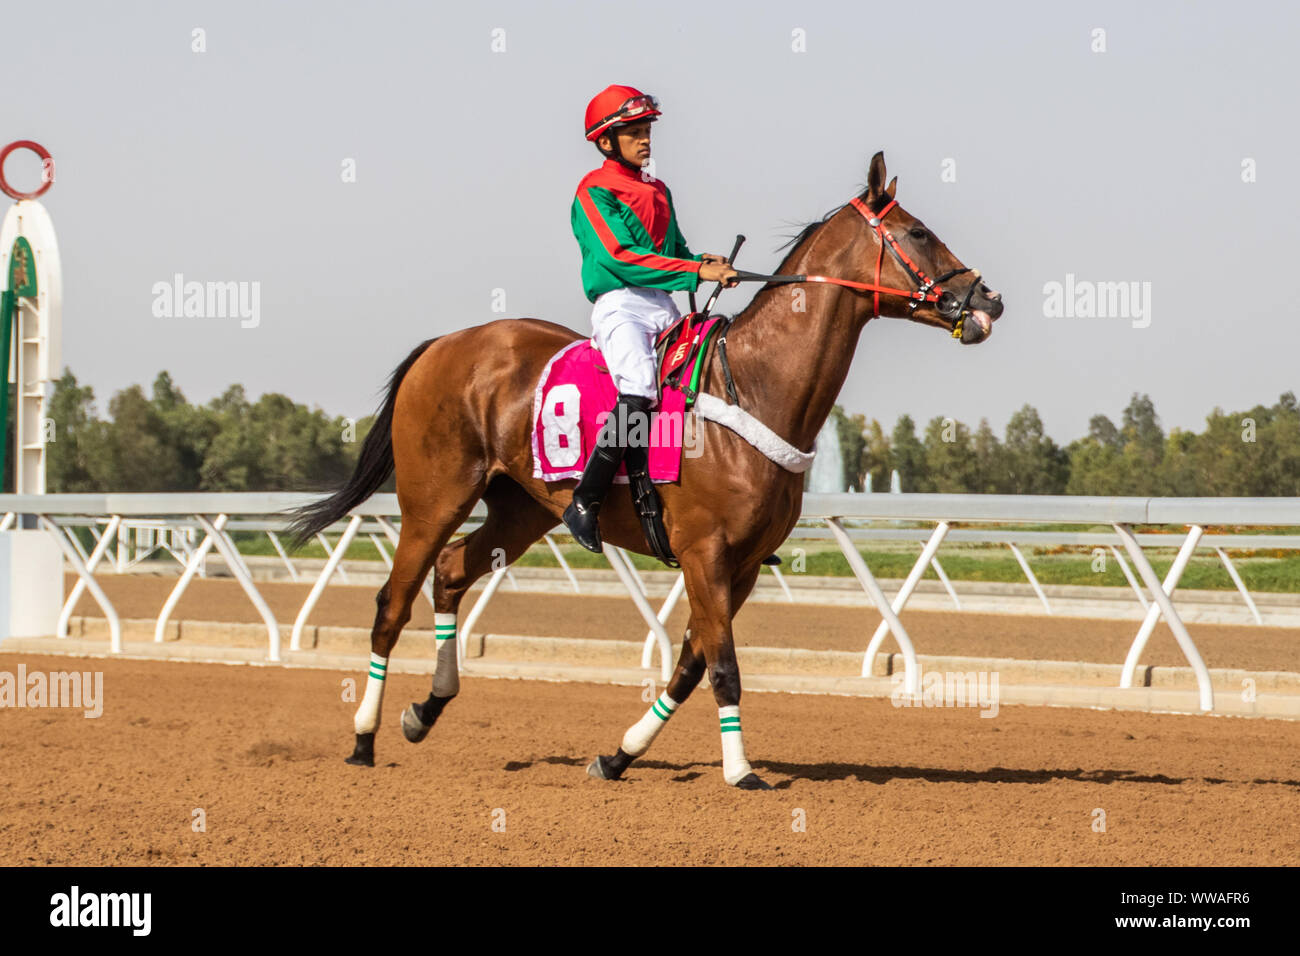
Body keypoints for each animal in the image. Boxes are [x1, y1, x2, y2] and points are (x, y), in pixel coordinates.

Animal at [289, 153, 1003, 790]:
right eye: (918, 231)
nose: (989, 298)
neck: (755, 386)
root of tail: (442, 344)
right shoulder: (704, 551)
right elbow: (724, 667)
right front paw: (741, 771)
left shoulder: (742, 563)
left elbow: (691, 665)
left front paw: (618, 756)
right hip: (434, 497)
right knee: (393, 601)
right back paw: (363, 737)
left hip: (521, 508)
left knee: (452, 571)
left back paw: (425, 710)